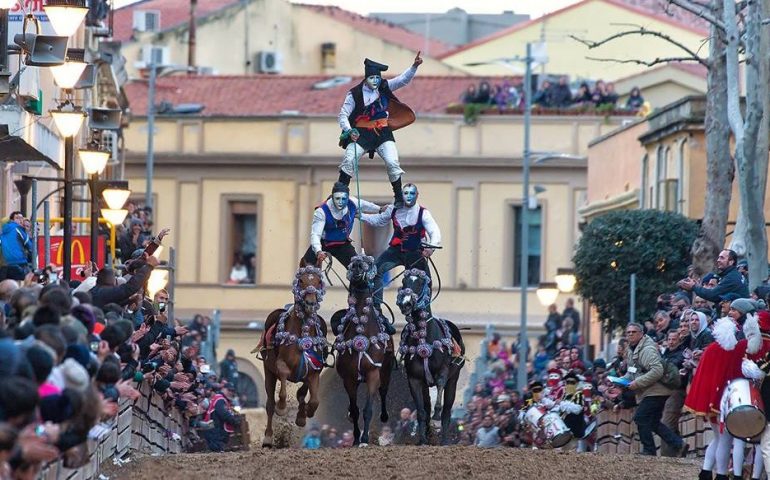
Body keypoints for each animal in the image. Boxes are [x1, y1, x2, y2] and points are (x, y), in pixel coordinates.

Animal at [260, 264, 328, 448]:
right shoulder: (280, 364)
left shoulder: (314, 369)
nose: (311, 303)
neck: (302, 333)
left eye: (318, 281)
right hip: (268, 371)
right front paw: (282, 407)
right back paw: (268, 438)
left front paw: (304, 415)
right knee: (269, 404)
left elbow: (313, 399)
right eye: (301, 281)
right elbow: (283, 378)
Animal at [328, 255, 392, 446]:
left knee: (383, 391)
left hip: (386, 371)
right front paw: (356, 438)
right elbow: (355, 410)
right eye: (352, 261)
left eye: (369, 263)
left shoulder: (373, 374)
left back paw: (384, 416)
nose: (357, 266)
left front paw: (364, 439)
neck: (362, 330)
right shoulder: (349, 378)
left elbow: (367, 409)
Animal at [396, 268, 462, 444]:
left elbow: (440, 391)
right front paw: (423, 440)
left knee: (447, 410)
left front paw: (436, 416)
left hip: (454, 379)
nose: (405, 303)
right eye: (404, 282)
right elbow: (421, 411)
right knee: (426, 406)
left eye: (420, 283)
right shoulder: (415, 379)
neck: (424, 339)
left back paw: (444, 439)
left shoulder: (444, 371)